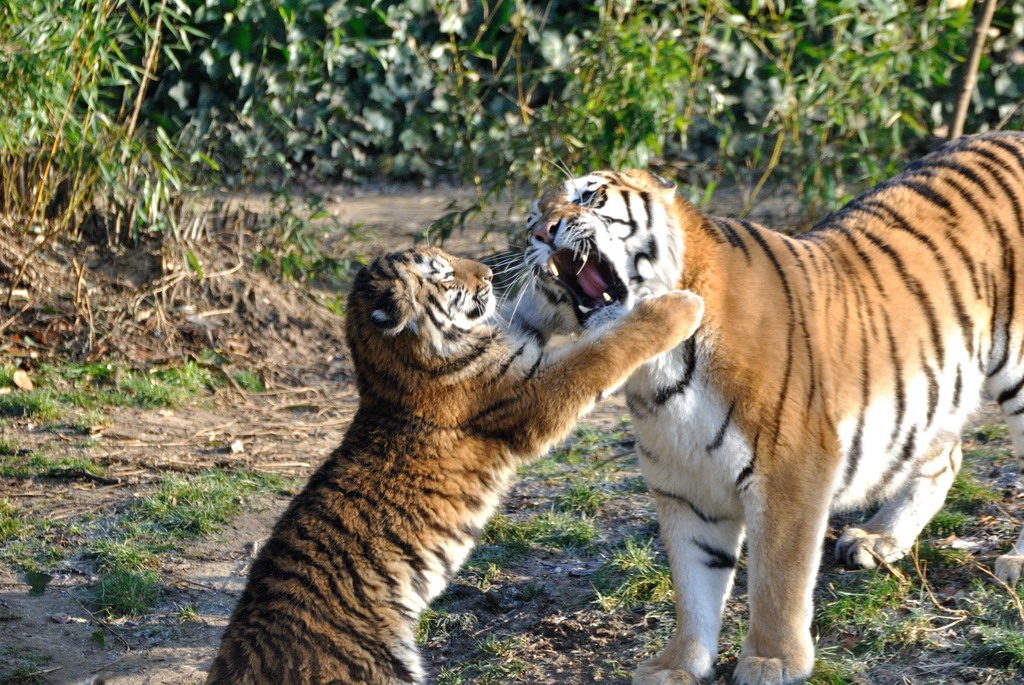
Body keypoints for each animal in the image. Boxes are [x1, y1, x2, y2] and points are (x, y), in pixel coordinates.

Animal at [204, 246, 704, 684]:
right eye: (443, 275)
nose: (487, 273)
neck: (394, 363)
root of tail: (240, 659)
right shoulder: (535, 392)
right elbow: (603, 352)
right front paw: (679, 306)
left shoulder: (519, 342)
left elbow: (530, 312)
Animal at [514, 131, 1024, 685]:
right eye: (532, 214)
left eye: (588, 195)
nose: (540, 231)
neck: (659, 368)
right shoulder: (683, 485)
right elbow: (692, 586)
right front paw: (677, 665)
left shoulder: (790, 471)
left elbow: (778, 578)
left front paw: (772, 661)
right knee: (947, 456)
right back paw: (878, 538)